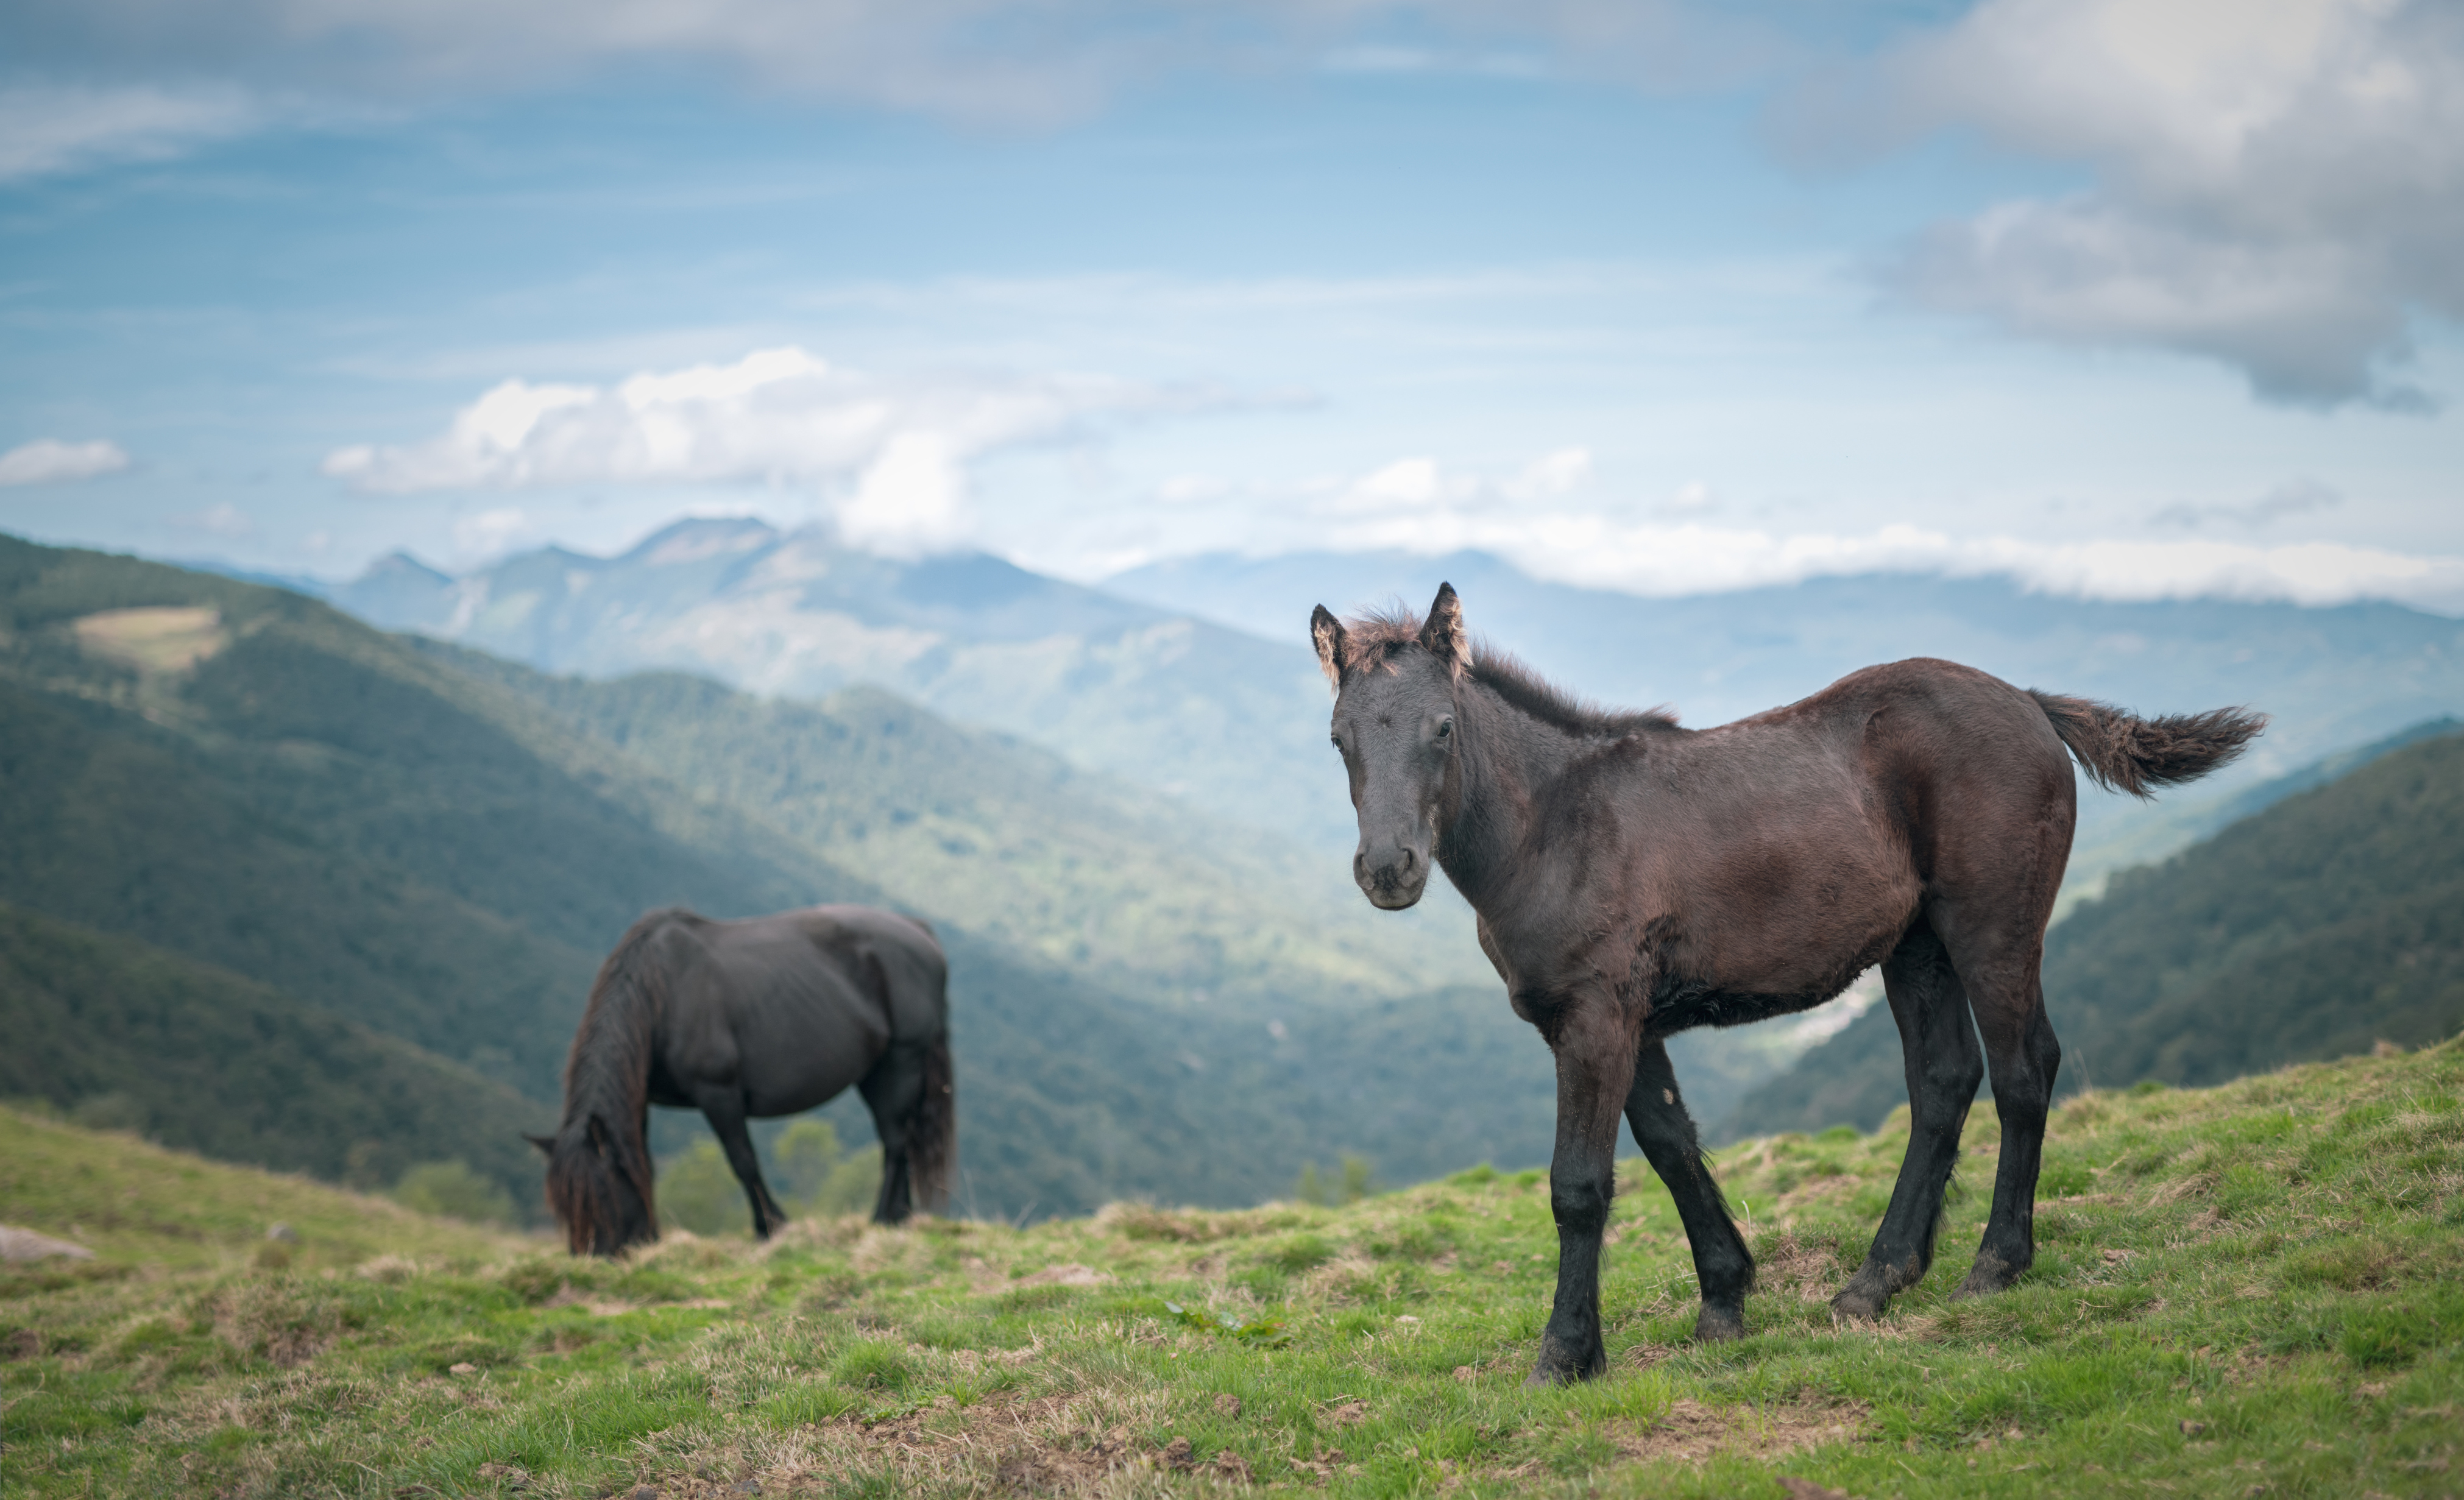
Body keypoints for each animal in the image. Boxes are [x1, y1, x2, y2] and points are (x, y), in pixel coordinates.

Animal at [527, 904, 955, 1256]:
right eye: (560, 1205)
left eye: (599, 1191)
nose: (597, 1258)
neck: (662, 995)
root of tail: (918, 929)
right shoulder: (640, 1098)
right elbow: (642, 1160)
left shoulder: (719, 1095)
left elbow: (743, 1162)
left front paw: (772, 1228)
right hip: (876, 1073)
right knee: (898, 1142)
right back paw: (901, 1219)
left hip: (901, 1061)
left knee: (895, 1143)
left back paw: (882, 1219)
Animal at [1310, 583, 2263, 1384]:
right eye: (1339, 738)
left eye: (1441, 727)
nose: (1388, 870)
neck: (1554, 823)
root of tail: (2029, 702)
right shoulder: (1628, 1023)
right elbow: (1672, 1145)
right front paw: (1725, 1299)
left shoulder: (1593, 1019)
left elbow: (1579, 1185)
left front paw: (1565, 1355)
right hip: (1916, 947)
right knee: (1943, 1082)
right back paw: (1878, 1279)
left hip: (1993, 930)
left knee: (2024, 1071)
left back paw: (1994, 1265)